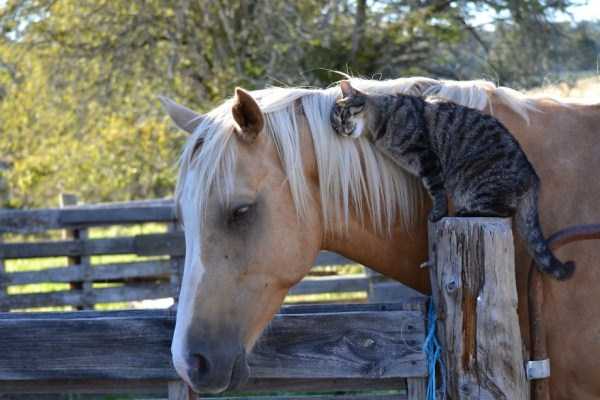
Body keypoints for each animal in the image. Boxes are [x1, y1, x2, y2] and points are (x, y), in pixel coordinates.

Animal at [330, 80, 576, 282]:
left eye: (344, 113)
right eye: (335, 124)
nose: (342, 128)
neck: (380, 122)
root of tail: (532, 176)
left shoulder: (427, 158)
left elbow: (436, 190)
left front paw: (437, 213)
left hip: (476, 183)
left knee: (503, 211)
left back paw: (466, 211)